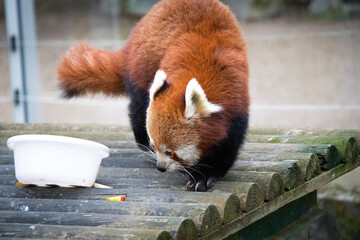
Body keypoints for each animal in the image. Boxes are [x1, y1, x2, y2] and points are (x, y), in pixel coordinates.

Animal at [57, 0, 249, 191]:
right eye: (154, 145)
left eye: (170, 152)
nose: (160, 167)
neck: (205, 72)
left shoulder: (236, 105)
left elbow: (227, 145)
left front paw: (206, 175)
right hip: (144, 65)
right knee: (138, 105)